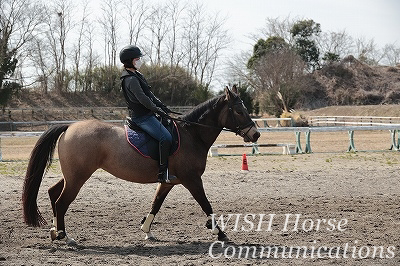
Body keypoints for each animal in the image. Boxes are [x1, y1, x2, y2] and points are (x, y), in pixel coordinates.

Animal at [21, 85, 260, 245]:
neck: (191, 134)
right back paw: (64, 236)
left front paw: (147, 230)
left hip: (72, 175)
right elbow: (206, 205)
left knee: (53, 193)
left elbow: (156, 204)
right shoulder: (192, 179)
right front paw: (220, 233)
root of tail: (69, 127)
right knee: (61, 202)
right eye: (239, 111)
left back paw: (56, 231)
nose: (255, 134)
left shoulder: (168, 182)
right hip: (78, 177)